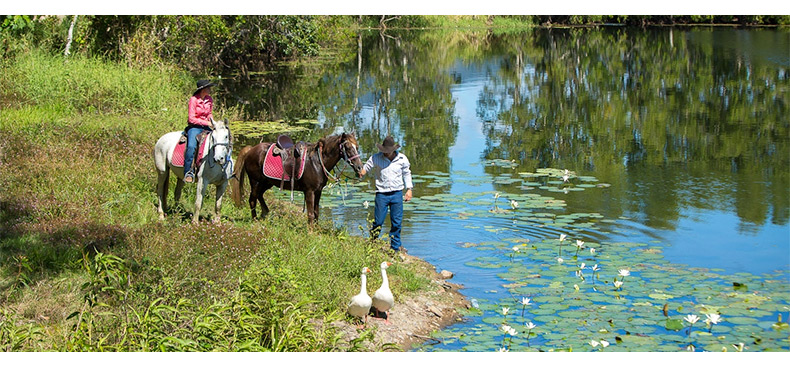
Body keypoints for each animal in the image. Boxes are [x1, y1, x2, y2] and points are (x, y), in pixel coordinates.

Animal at [229, 133, 366, 223]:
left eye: (357, 147)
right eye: (348, 147)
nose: (360, 168)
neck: (317, 161)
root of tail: (250, 150)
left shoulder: (318, 191)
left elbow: (316, 212)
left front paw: (317, 231)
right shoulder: (309, 191)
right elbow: (310, 213)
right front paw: (311, 232)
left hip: (267, 182)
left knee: (259, 195)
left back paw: (265, 213)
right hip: (255, 181)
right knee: (252, 199)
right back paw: (255, 220)